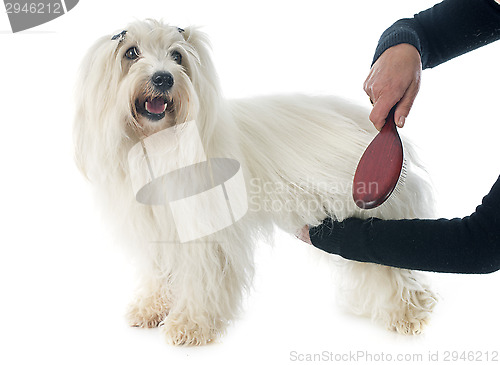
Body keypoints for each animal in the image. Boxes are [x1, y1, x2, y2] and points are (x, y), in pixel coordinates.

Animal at [73, 19, 438, 344]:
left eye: (177, 56)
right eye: (130, 53)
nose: (163, 78)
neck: (159, 144)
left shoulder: (205, 234)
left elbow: (202, 278)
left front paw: (190, 325)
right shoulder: (156, 230)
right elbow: (158, 272)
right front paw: (151, 309)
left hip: (368, 209)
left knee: (389, 266)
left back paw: (408, 314)